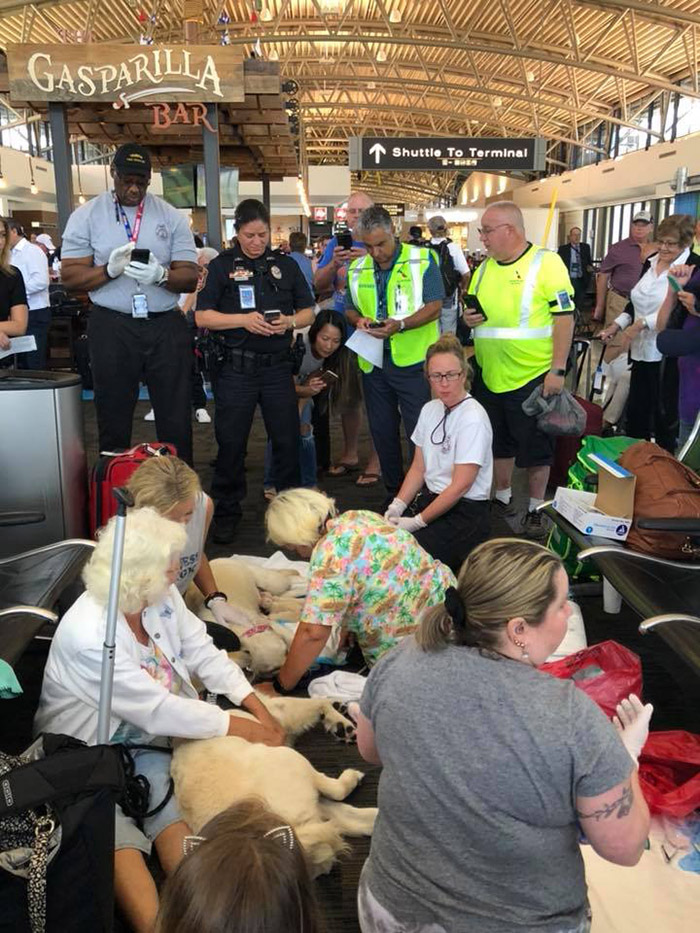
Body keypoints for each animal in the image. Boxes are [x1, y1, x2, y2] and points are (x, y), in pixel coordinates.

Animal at [171, 692, 378, 872]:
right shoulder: (282, 710)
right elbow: (319, 701)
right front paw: (340, 720)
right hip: (292, 760)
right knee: (337, 791)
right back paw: (352, 777)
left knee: (354, 819)